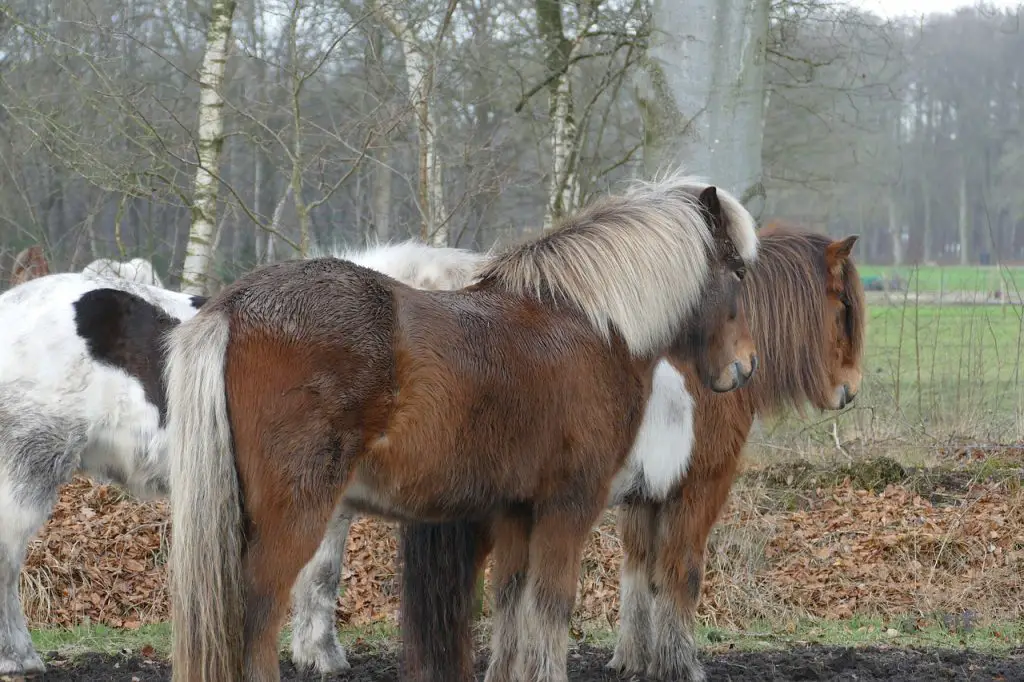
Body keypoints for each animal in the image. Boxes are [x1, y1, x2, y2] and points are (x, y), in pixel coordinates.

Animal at [0, 240, 485, 675]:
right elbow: (323, 575)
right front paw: (326, 656)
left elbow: (317, 575)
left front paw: (312, 654)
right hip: (27, 471)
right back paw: (19, 659)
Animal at [161, 174, 761, 679]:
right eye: (737, 271)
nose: (744, 367)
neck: (593, 325)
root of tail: (235, 305)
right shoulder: (568, 507)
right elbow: (551, 610)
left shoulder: (518, 512)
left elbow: (513, 612)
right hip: (294, 515)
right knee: (256, 618)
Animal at [395, 219, 868, 679]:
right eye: (844, 307)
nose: (850, 390)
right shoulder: (698, 489)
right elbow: (682, 572)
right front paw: (679, 664)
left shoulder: (645, 496)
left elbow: (641, 572)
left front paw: (634, 657)